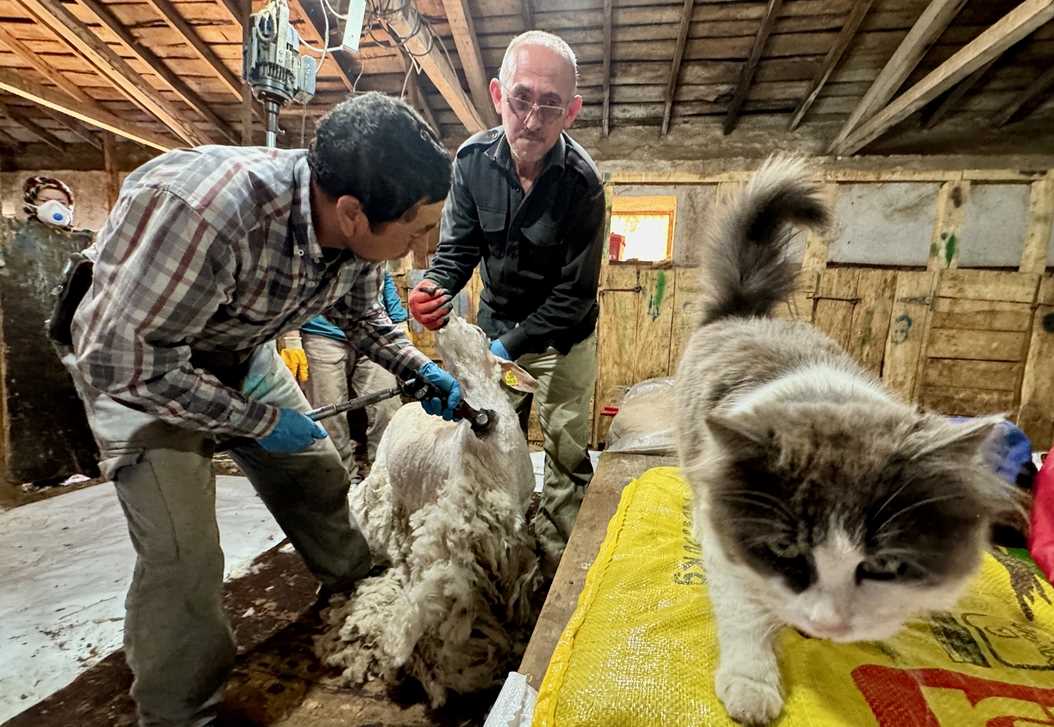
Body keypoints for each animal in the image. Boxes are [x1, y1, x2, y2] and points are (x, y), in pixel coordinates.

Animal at [674, 155, 1020, 720]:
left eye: (882, 565)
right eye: (786, 550)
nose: (831, 621)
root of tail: (746, 313)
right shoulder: (735, 551)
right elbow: (746, 614)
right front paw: (752, 685)